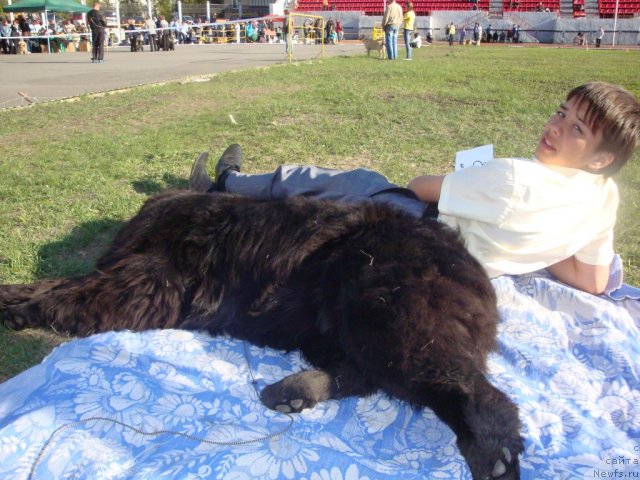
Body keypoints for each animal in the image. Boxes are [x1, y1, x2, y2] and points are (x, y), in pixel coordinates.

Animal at [0, 191, 524, 480]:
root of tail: (476, 269)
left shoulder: (149, 281)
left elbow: (74, 290)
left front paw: (22, 305)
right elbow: (63, 283)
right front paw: (16, 295)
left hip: (389, 309)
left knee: (469, 388)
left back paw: (492, 452)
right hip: (343, 322)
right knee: (366, 376)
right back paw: (296, 389)